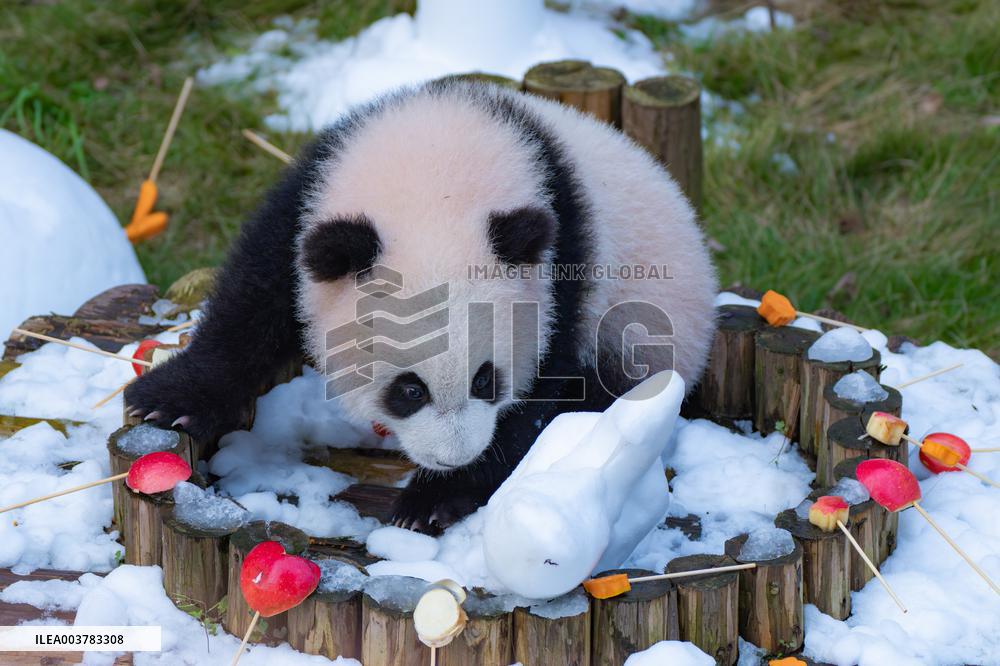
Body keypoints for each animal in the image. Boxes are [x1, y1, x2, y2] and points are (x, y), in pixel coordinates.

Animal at [125, 80, 718, 532]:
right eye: (409, 390)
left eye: (486, 379)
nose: (453, 455)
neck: (435, 179)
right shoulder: (308, 198)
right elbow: (252, 303)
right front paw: (168, 400)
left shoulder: (562, 272)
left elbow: (547, 395)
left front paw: (433, 499)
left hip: (650, 329)